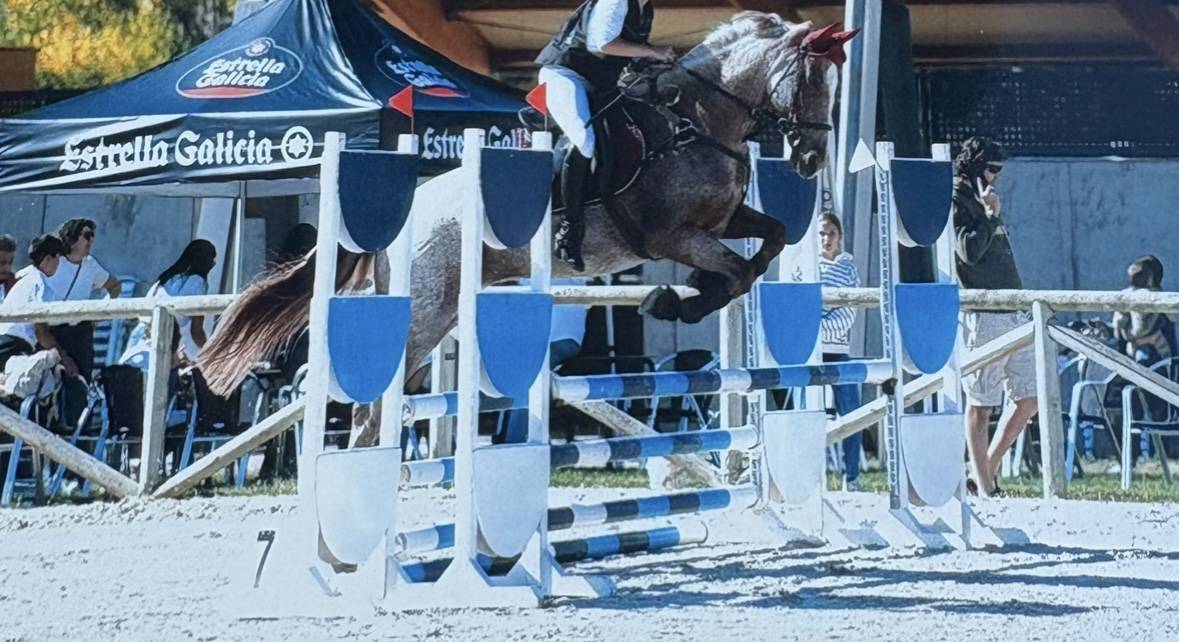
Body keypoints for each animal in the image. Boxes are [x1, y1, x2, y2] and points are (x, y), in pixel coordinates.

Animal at [199, 13, 854, 443]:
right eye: (812, 82)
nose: (811, 160)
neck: (699, 120)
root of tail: (407, 210)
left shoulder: (722, 220)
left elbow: (770, 242)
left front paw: (687, 296)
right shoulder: (669, 235)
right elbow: (738, 271)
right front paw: (678, 301)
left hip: (435, 316)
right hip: (422, 312)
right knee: (368, 405)